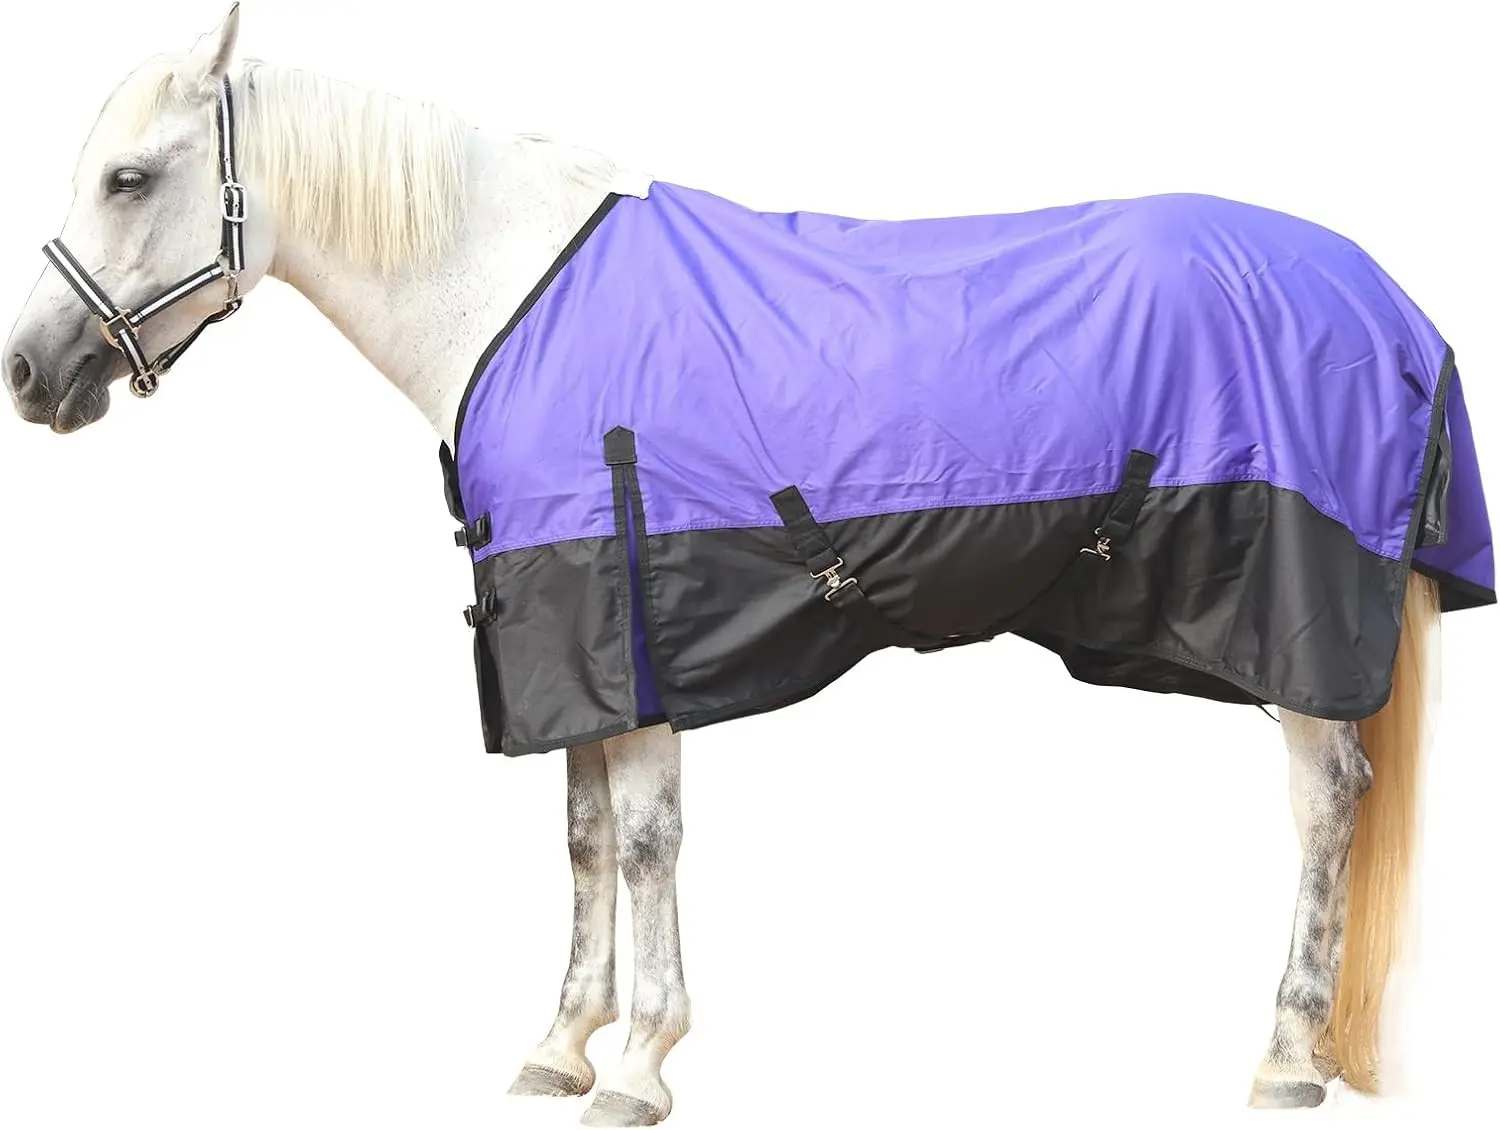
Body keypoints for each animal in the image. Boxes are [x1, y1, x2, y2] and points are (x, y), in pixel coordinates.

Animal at [4, 7, 1492, 1125]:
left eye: (131, 177)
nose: (28, 373)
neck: (507, 297)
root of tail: (1390, 300)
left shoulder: (633, 633)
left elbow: (647, 842)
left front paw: (640, 1066)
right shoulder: (575, 651)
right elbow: (584, 839)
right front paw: (559, 1045)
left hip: (1296, 630)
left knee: (1326, 807)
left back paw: (1287, 1058)